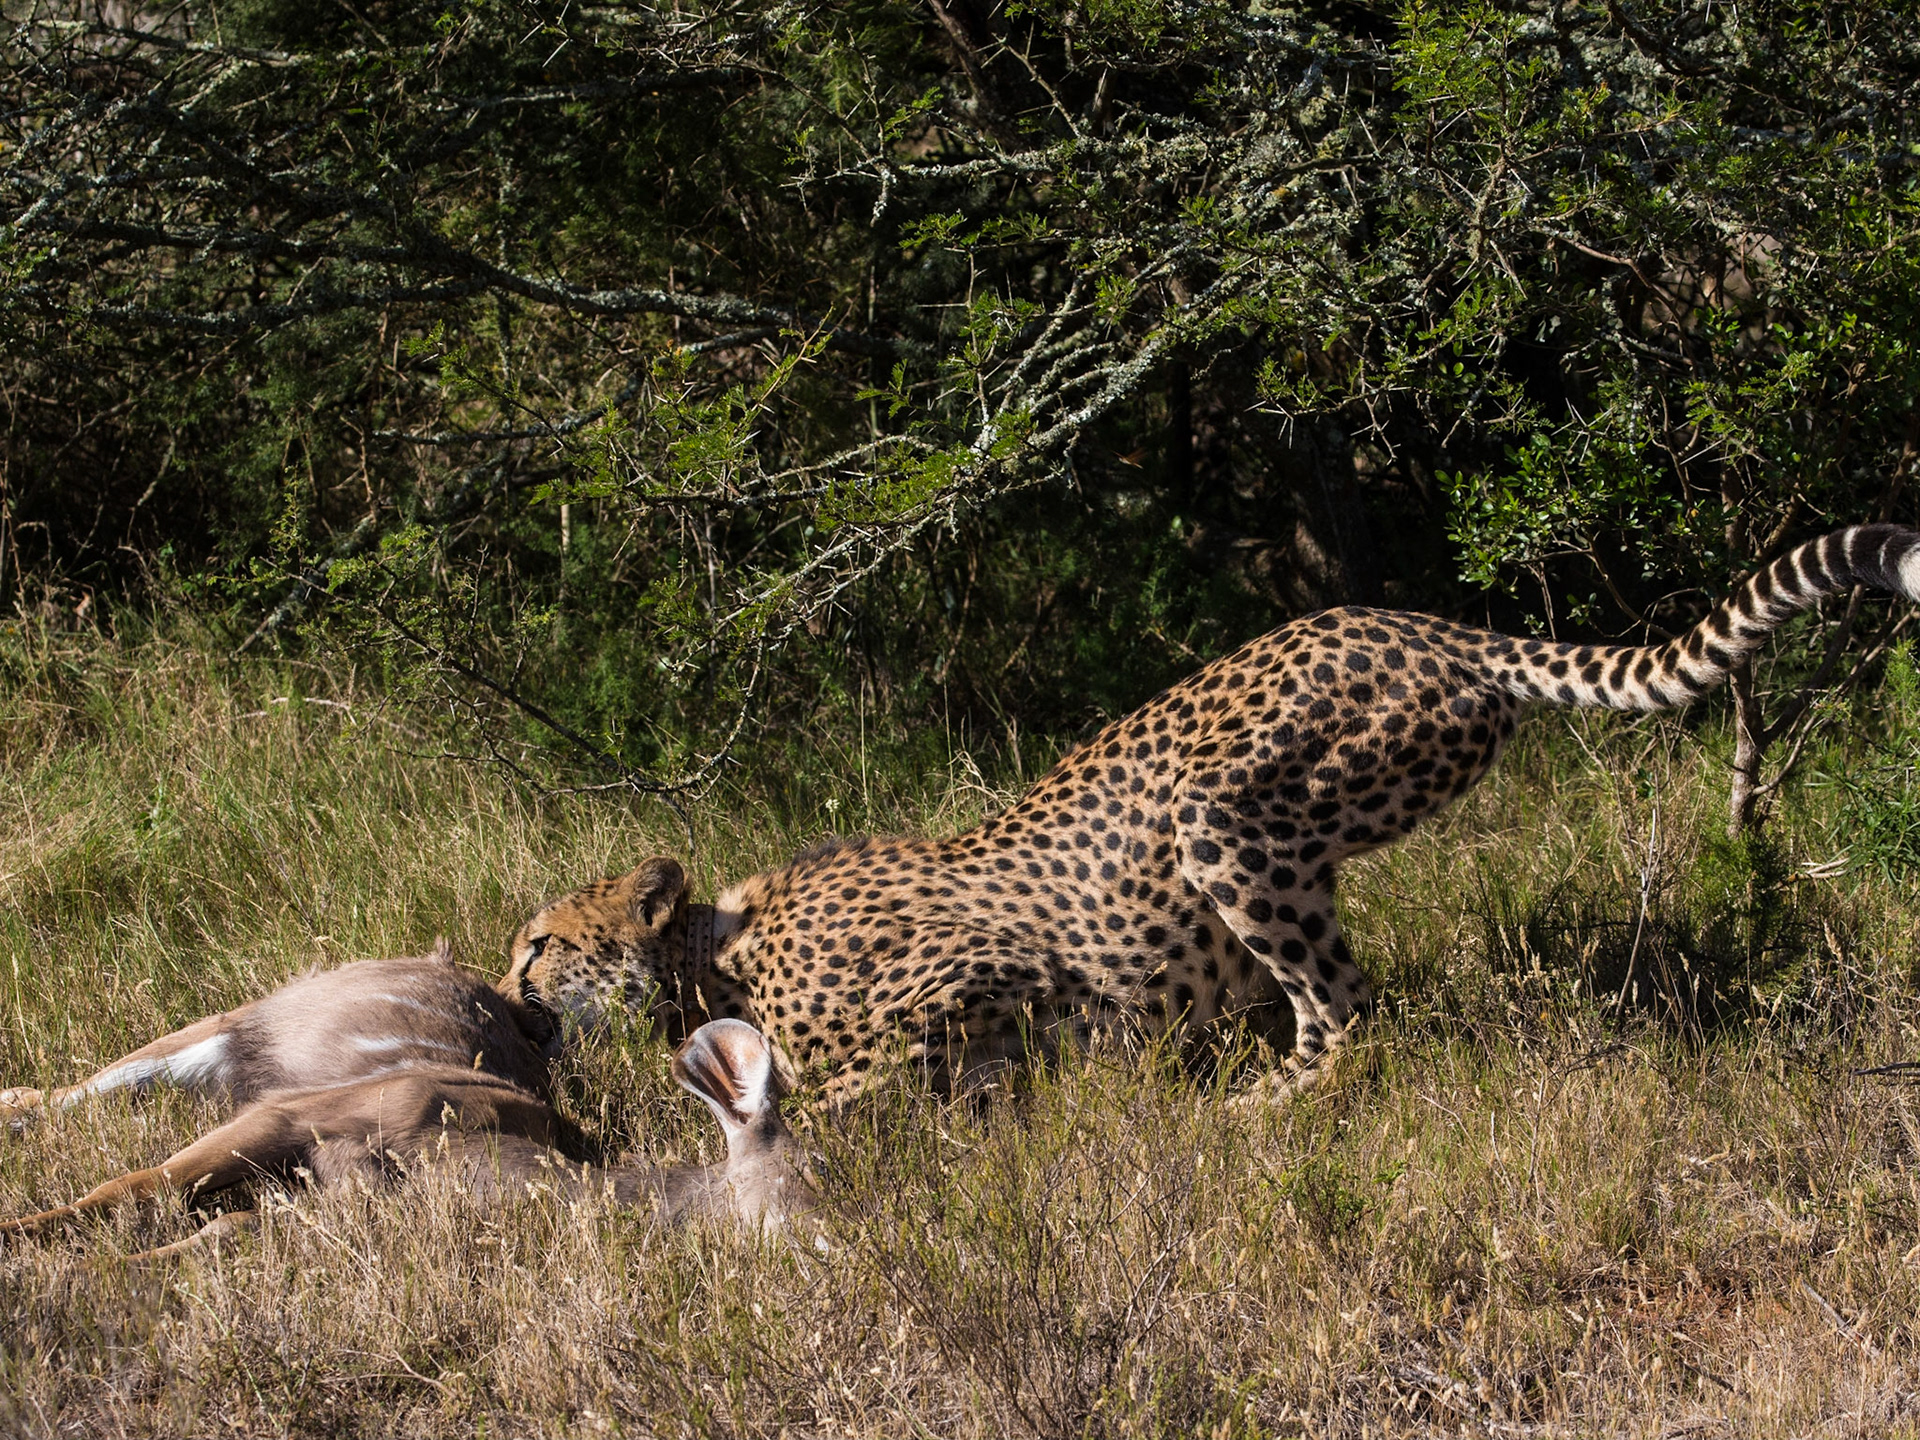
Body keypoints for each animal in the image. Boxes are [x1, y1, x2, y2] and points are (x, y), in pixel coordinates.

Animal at [504, 524, 1920, 1102]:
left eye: (539, 943)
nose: (502, 985)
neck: (718, 950)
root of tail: (1416, 619)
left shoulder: (989, 974)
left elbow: (861, 1070)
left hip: (1230, 818)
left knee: (1346, 1013)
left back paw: (1256, 1115)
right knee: (1324, 998)